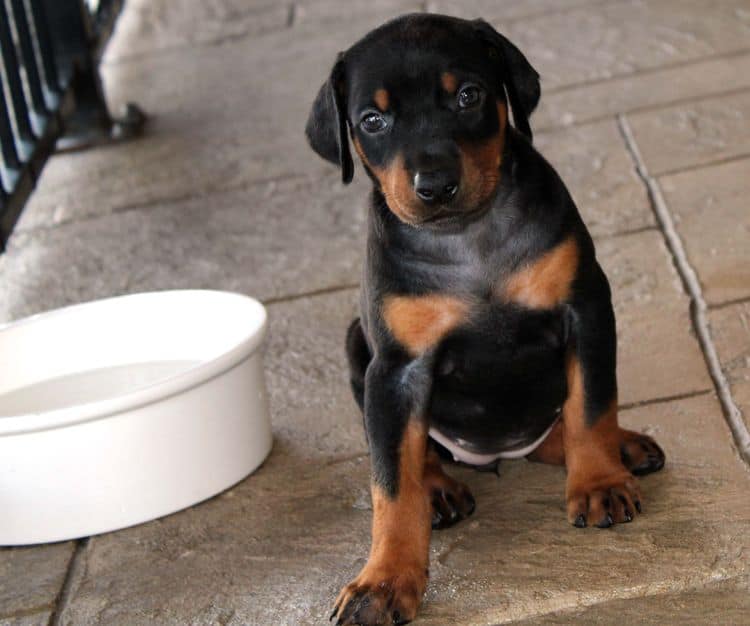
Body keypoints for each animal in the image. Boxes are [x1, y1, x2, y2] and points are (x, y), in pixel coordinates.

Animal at [308, 14, 668, 624]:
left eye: (469, 96)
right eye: (372, 121)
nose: (434, 186)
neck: (467, 237)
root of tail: (496, 455)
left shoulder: (587, 307)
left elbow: (592, 404)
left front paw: (599, 480)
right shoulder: (397, 369)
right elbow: (391, 481)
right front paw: (382, 584)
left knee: (559, 427)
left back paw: (623, 448)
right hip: (359, 348)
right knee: (414, 449)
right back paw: (438, 488)